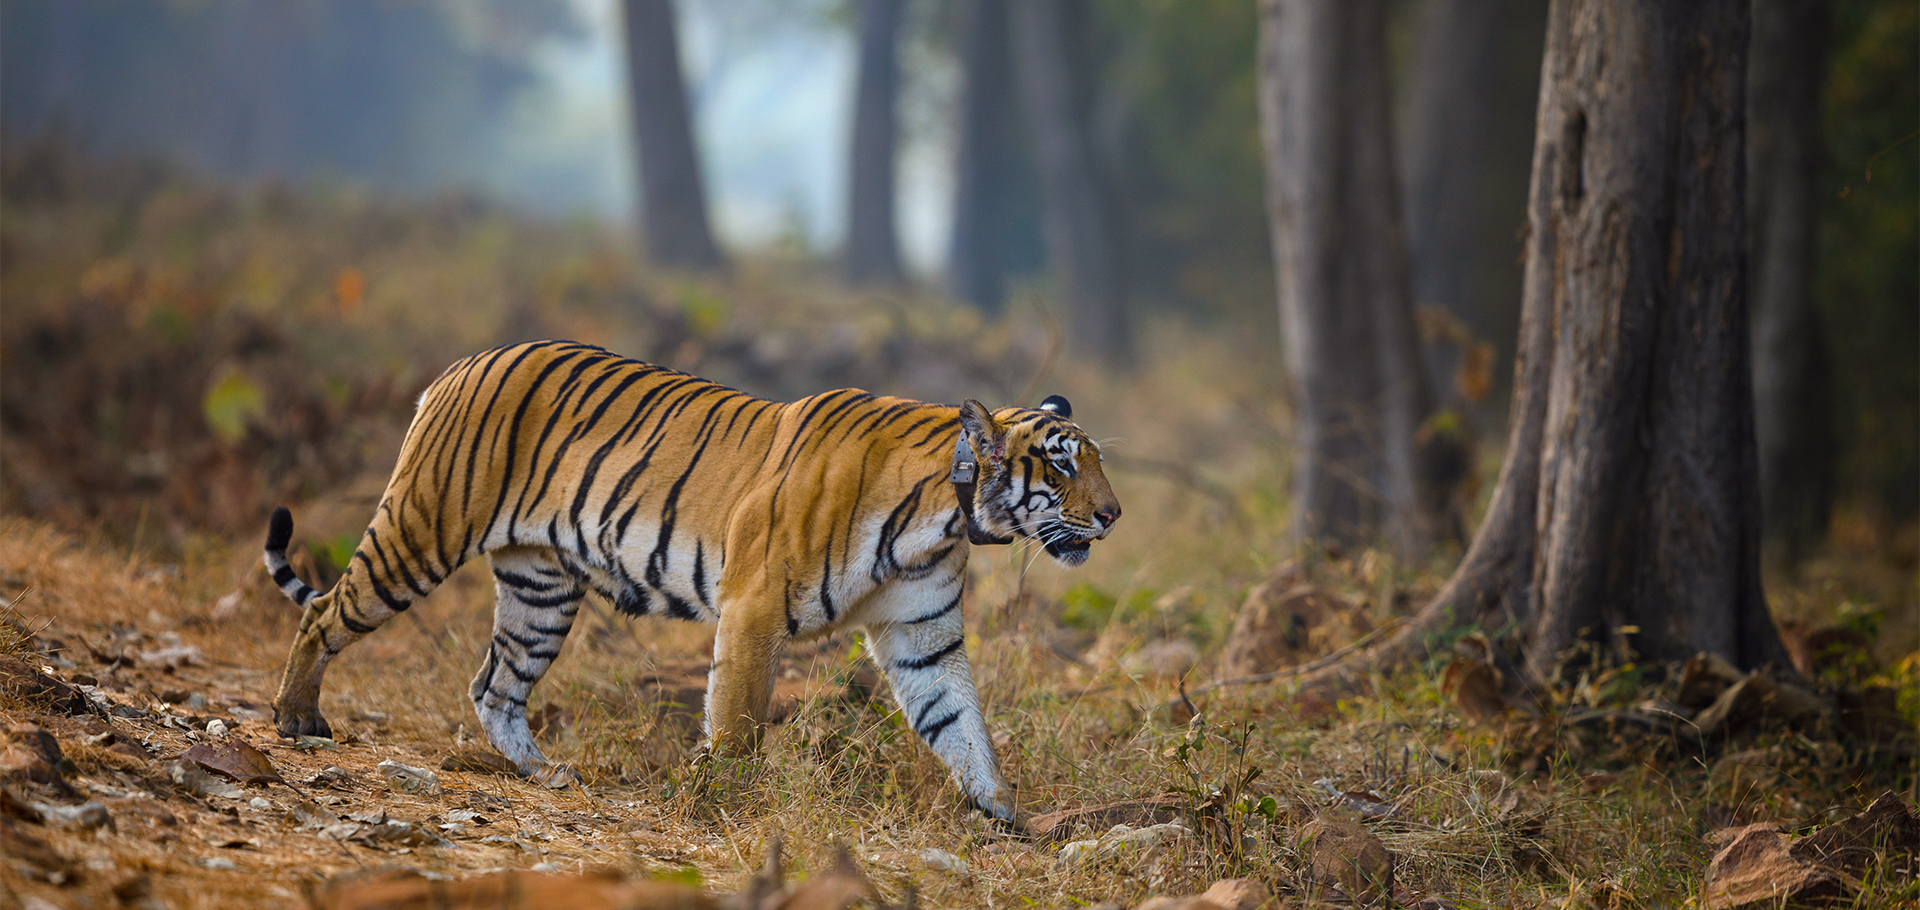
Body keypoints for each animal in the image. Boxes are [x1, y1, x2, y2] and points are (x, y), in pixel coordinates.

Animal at [262, 339, 1120, 826]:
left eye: (1097, 460)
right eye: (1062, 464)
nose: (1113, 514)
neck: (944, 515)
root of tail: (459, 365)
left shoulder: (921, 636)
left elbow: (962, 723)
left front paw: (1003, 809)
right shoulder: (753, 607)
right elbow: (737, 720)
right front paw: (727, 801)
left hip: (541, 587)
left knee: (494, 684)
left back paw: (545, 773)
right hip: (423, 529)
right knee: (325, 612)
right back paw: (297, 718)